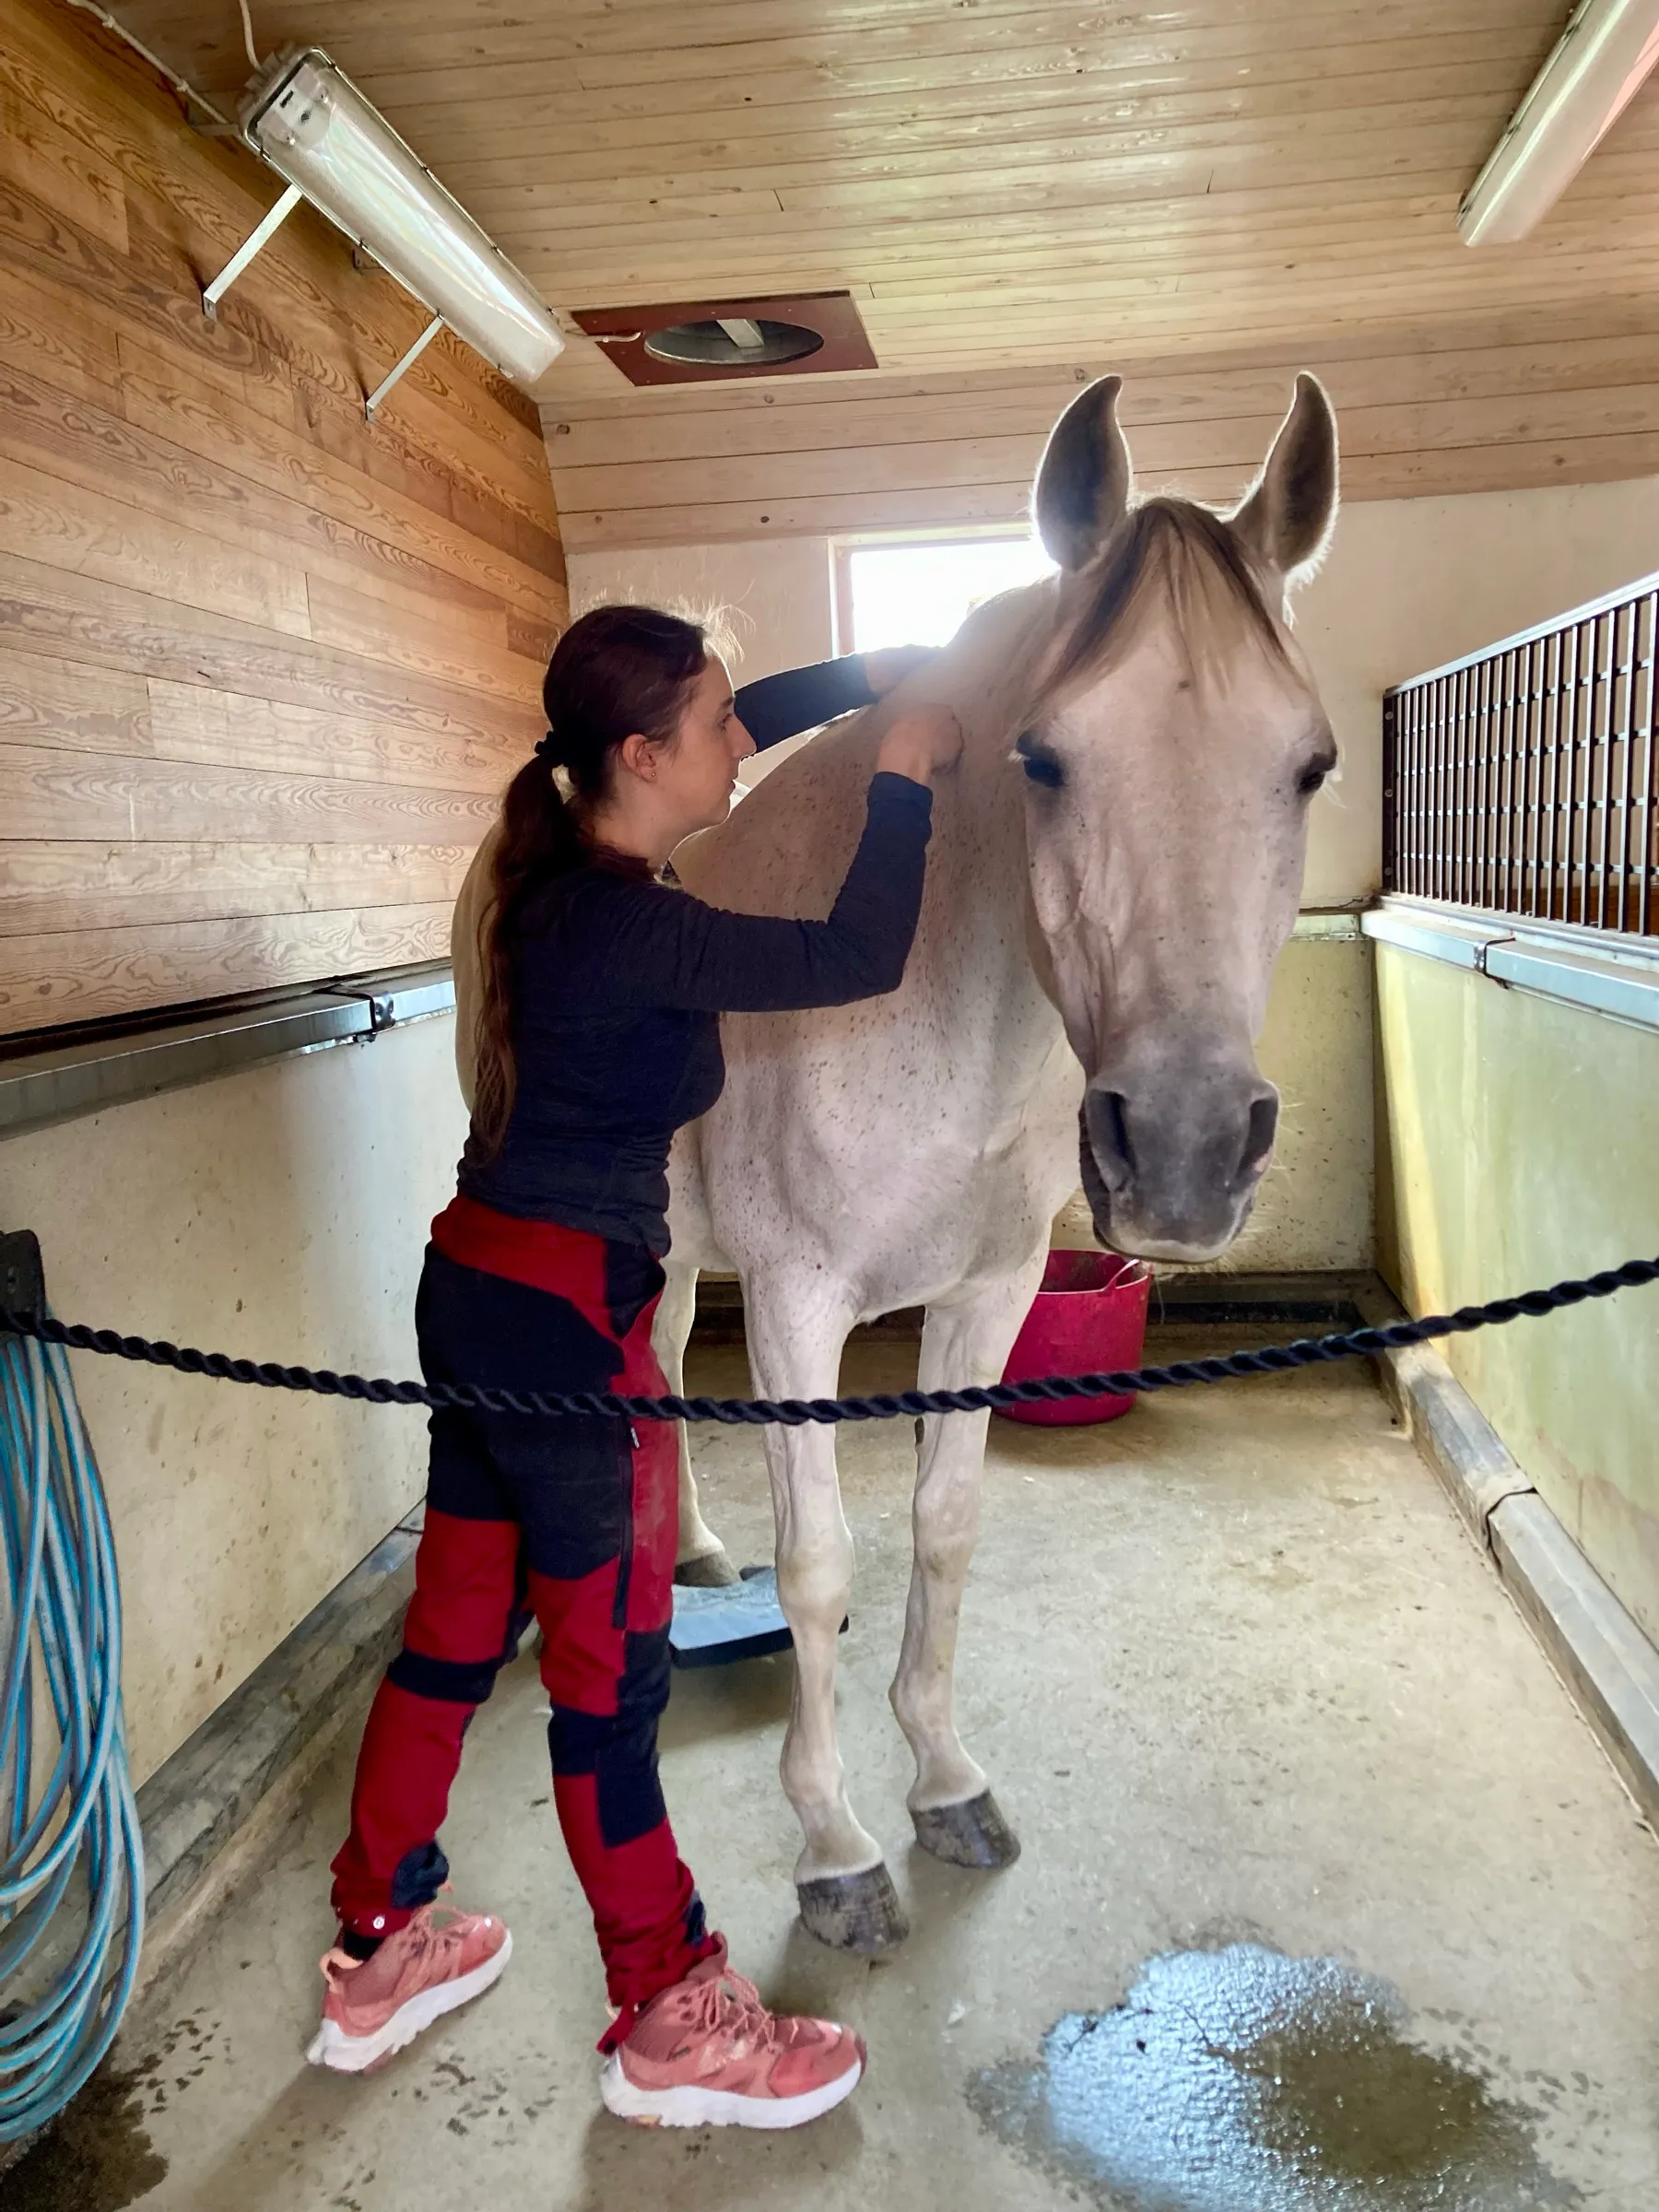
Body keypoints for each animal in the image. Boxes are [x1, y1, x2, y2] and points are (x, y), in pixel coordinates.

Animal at [654, 372, 1341, 1952]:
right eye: (1044, 757)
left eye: (1311, 764)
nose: (1186, 1150)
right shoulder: (794, 1308)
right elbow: (822, 1566)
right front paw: (835, 1848)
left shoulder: (987, 1293)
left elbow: (946, 1527)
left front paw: (945, 1784)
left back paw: (690, 1556)